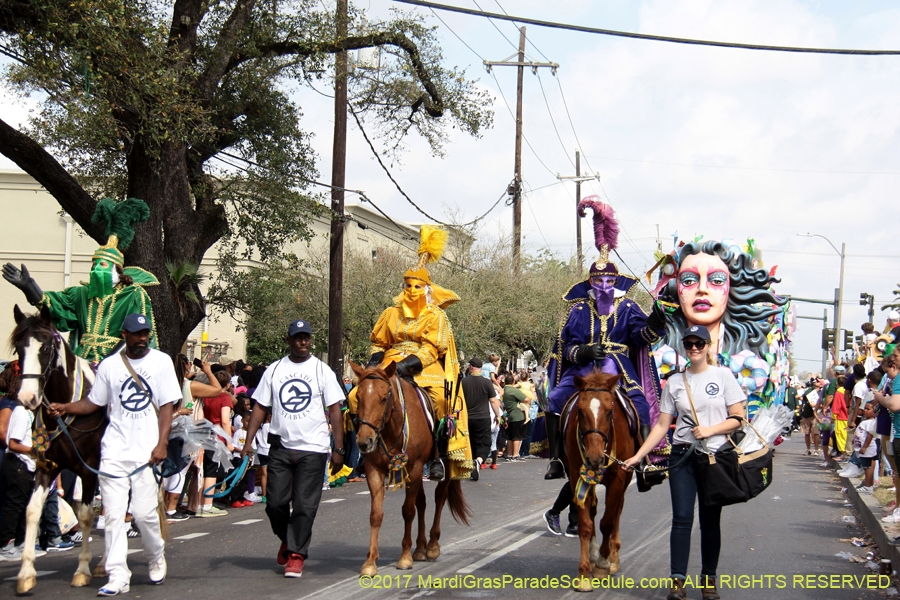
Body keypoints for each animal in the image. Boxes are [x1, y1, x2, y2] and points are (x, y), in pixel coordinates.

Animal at [9, 308, 106, 592]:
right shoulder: (46, 467)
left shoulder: (89, 469)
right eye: (18, 347)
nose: (27, 398)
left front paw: (82, 570)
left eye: (45, 348)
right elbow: (32, 511)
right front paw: (26, 574)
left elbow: (85, 515)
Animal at [348, 360, 472, 576]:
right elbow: (376, 514)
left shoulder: (414, 468)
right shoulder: (374, 470)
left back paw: (432, 546)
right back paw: (420, 548)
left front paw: (404, 557)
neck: (391, 428)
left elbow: (407, 511)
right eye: (358, 398)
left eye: (383, 398)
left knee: (439, 499)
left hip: (441, 467)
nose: (364, 442)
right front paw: (370, 562)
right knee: (421, 502)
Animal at [568, 370, 636, 592]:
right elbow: (585, 524)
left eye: (609, 411)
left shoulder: (618, 478)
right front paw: (583, 573)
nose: (594, 459)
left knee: (617, 511)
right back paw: (594, 554)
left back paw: (613, 557)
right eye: (580, 411)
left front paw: (603, 565)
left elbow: (607, 522)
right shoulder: (577, 475)